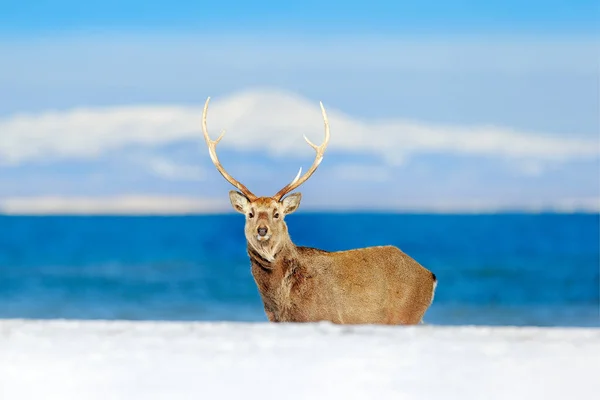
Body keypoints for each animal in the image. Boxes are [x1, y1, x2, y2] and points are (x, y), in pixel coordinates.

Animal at [200, 97, 436, 324]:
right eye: (250, 213)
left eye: (277, 213)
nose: (262, 230)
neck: (282, 305)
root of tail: (430, 276)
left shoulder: (326, 317)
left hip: (405, 315)